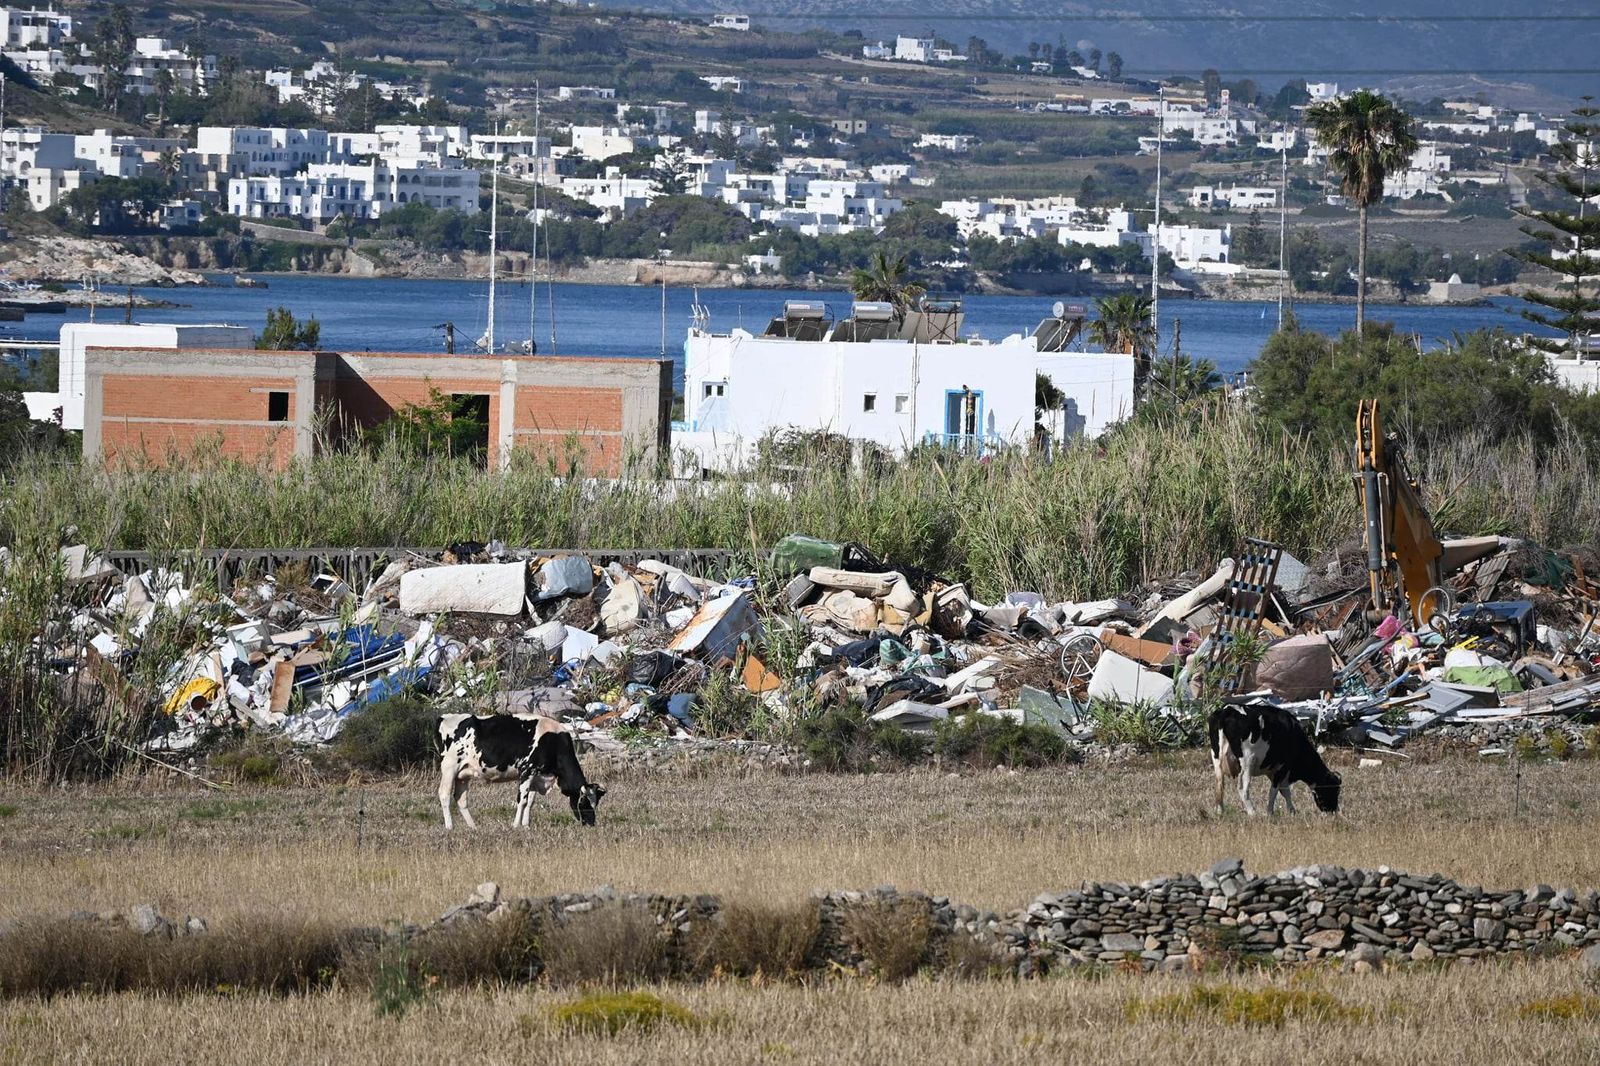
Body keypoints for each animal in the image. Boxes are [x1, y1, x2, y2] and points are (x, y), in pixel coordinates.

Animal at [438, 713, 604, 832]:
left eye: (596, 803)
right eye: (583, 802)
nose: (591, 823)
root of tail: (446, 717)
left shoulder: (537, 776)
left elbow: (530, 801)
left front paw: (526, 825)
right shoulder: (527, 771)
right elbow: (522, 801)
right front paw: (516, 825)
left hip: (463, 774)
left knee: (460, 798)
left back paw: (473, 827)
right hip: (449, 767)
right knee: (444, 794)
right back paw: (449, 827)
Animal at [1203, 697, 1344, 813]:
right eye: (1334, 789)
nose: (1334, 810)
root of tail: (1228, 709)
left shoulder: (1275, 771)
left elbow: (1284, 791)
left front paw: (1292, 811)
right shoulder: (1282, 767)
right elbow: (1275, 791)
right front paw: (1270, 813)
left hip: (1216, 757)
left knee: (1219, 784)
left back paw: (1220, 811)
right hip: (1247, 761)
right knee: (1243, 788)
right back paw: (1253, 813)